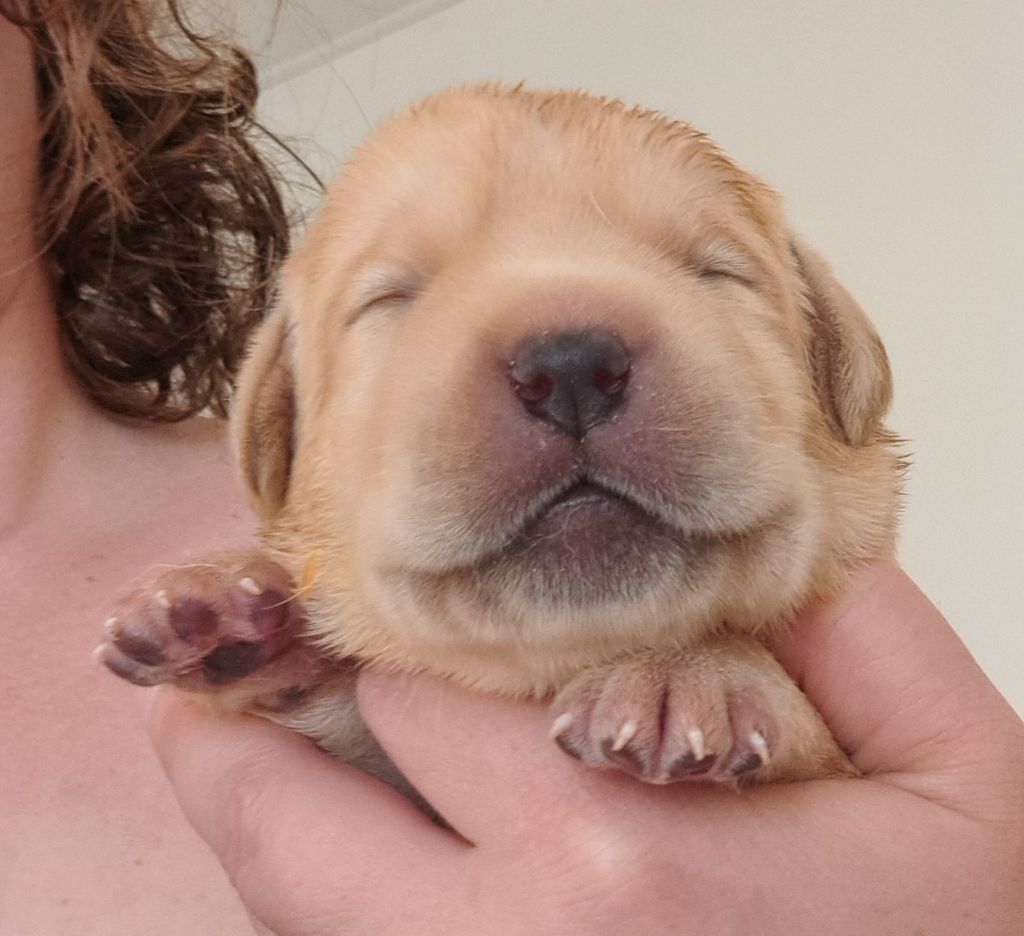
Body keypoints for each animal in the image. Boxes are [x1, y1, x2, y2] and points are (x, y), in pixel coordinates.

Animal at [98, 83, 903, 792]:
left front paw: (690, 672)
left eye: (716, 272)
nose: (571, 367)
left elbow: (813, 737)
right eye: (391, 299)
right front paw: (230, 606)